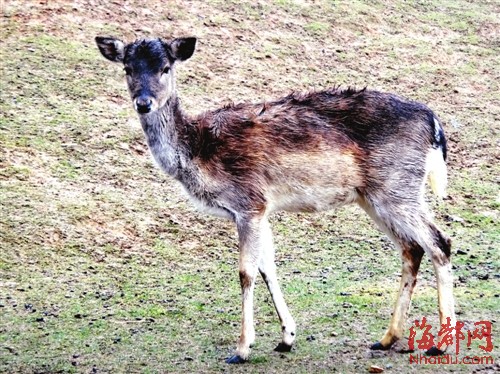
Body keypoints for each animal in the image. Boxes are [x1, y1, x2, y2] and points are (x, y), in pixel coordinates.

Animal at [94, 36, 458, 364]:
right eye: (128, 68)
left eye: (165, 67)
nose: (143, 102)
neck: (198, 150)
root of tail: (434, 123)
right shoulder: (261, 209)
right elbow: (268, 266)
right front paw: (287, 338)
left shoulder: (249, 202)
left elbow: (246, 272)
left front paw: (241, 349)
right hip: (374, 196)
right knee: (412, 248)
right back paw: (387, 338)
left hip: (397, 187)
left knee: (439, 241)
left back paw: (440, 344)